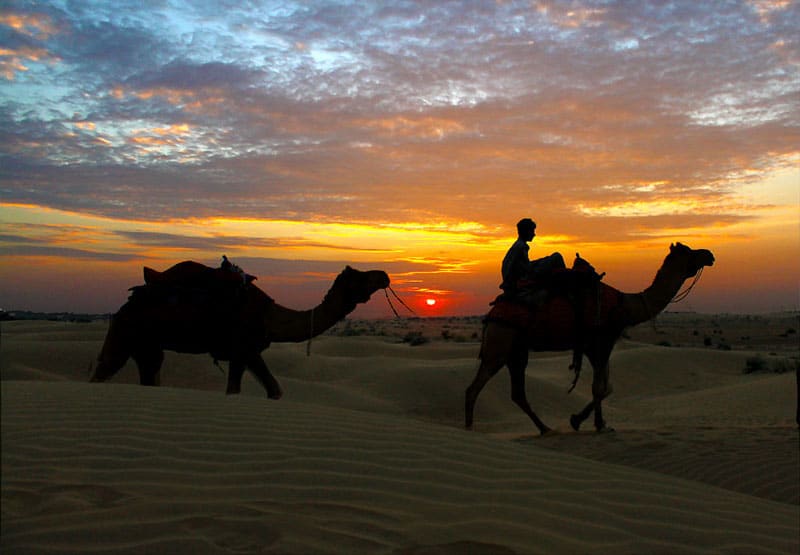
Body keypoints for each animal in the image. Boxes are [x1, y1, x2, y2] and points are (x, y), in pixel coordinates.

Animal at [90, 262, 390, 398]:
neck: (271, 316)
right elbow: (234, 390)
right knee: (103, 369)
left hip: (147, 344)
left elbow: (274, 389)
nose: (384, 275)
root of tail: (128, 302)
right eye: (361, 276)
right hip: (127, 331)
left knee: (149, 373)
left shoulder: (250, 352)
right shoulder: (240, 348)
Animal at [466, 243, 716, 434]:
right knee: (474, 387)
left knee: (517, 393)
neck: (625, 305)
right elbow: (599, 386)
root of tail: (492, 314)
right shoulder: (601, 341)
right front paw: (593, 424)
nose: (709, 254)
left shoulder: (593, 346)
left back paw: (545, 428)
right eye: (689, 251)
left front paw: (585, 420)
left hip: (517, 351)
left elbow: (607, 387)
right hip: (500, 344)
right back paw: (469, 429)